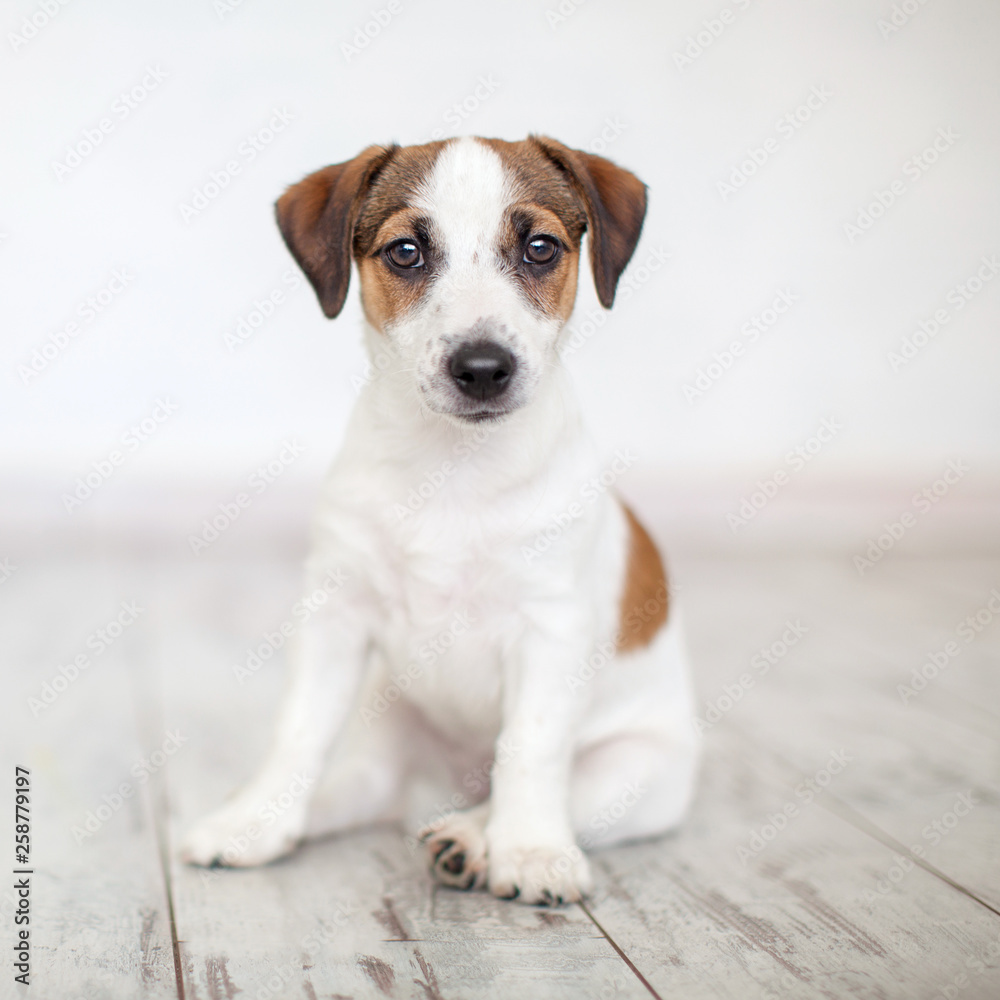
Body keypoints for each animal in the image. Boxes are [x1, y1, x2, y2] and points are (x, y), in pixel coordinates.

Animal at [182, 135, 696, 908]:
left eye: (540, 248)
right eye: (406, 253)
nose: (482, 368)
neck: (452, 468)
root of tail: (443, 787)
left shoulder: (550, 628)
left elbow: (531, 746)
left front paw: (532, 852)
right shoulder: (335, 611)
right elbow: (298, 731)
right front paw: (254, 821)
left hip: (635, 774)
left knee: (542, 791)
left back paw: (474, 838)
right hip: (387, 731)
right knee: (351, 786)